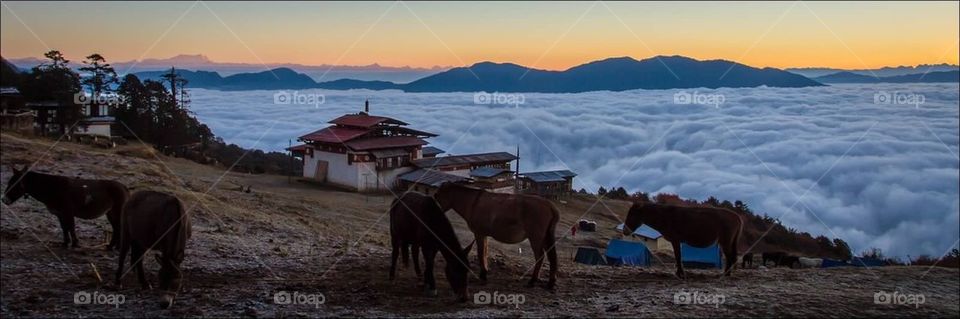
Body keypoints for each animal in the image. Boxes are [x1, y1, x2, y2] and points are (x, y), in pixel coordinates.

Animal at [432, 182, 560, 290]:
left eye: (437, 195)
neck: (473, 203)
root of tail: (549, 205)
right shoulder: (484, 235)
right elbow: (484, 252)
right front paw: (484, 272)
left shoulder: (479, 233)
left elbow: (480, 253)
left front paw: (483, 276)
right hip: (545, 237)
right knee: (552, 258)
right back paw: (551, 282)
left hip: (536, 238)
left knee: (540, 257)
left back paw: (533, 281)